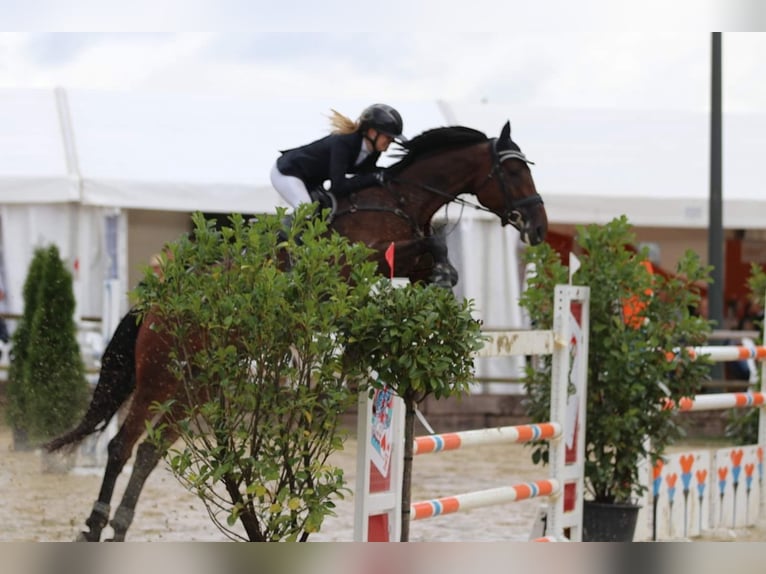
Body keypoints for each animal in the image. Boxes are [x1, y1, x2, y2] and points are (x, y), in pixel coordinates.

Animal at [46, 121, 544, 544]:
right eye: (514, 170)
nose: (539, 229)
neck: (400, 199)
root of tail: (157, 305)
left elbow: (437, 256)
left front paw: (440, 286)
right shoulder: (359, 262)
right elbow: (434, 243)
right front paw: (440, 278)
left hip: (195, 385)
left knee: (149, 451)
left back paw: (117, 527)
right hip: (159, 377)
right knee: (120, 446)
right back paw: (94, 526)